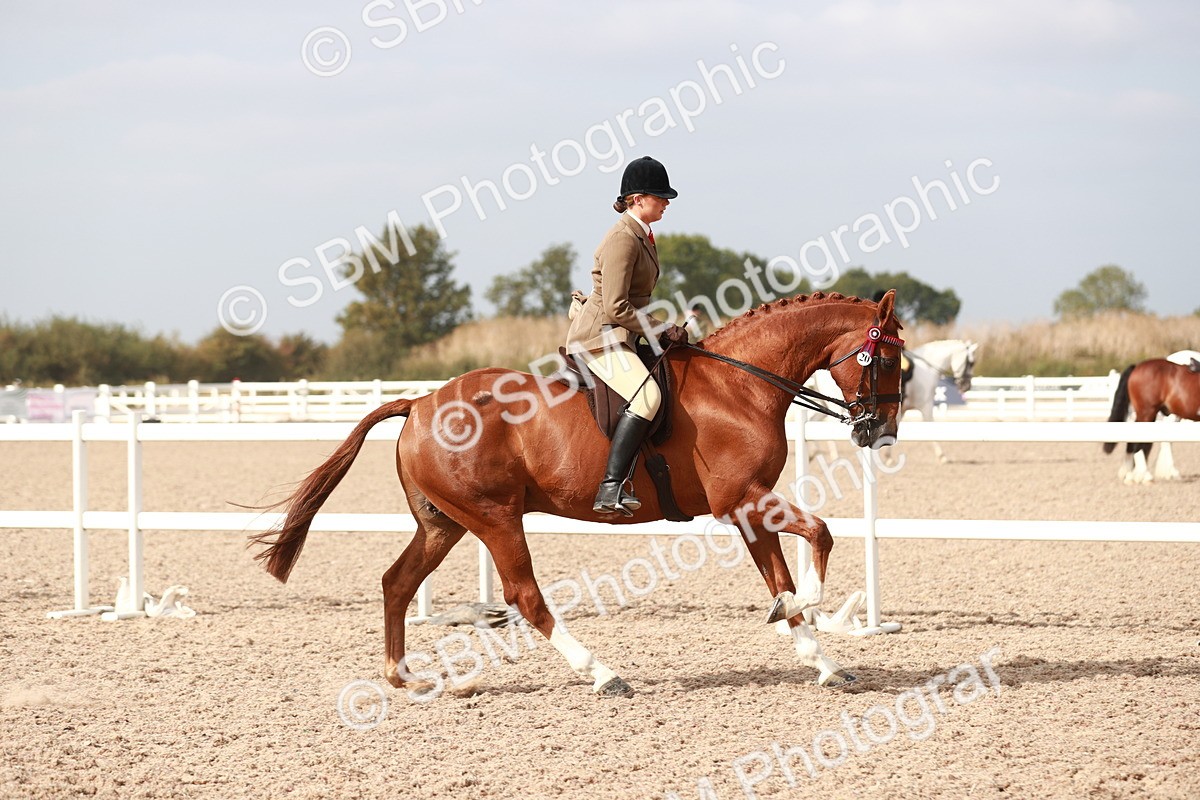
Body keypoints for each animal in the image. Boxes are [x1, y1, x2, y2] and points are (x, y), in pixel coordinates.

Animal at [249, 291, 904, 695]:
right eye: (887, 358)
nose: (881, 432)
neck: (739, 385)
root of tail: (420, 401)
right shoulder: (741, 500)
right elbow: (819, 536)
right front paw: (807, 612)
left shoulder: (750, 506)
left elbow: (781, 575)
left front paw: (822, 660)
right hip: (494, 517)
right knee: (525, 595)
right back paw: (602, 673)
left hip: (444, 522)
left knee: (397, 583)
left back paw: (406, 679)